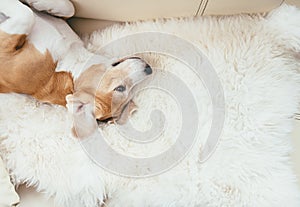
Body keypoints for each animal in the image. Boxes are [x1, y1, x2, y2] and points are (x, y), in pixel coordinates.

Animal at [0, 0, 152, 136]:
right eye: (120, 88)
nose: (149, 69)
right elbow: (69, 8)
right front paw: (41, 4)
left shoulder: (6, 54)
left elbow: (27, 15)